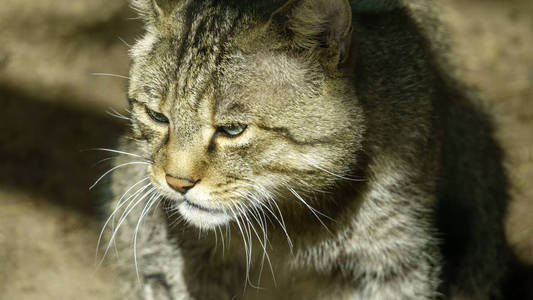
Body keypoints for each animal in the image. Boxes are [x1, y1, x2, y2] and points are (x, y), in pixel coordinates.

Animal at [100, 0, 512, 300]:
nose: (176, 182)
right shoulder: (164, 260)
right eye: (157, 116)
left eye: (233, 130)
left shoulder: (399, 259)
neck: (291, 227)